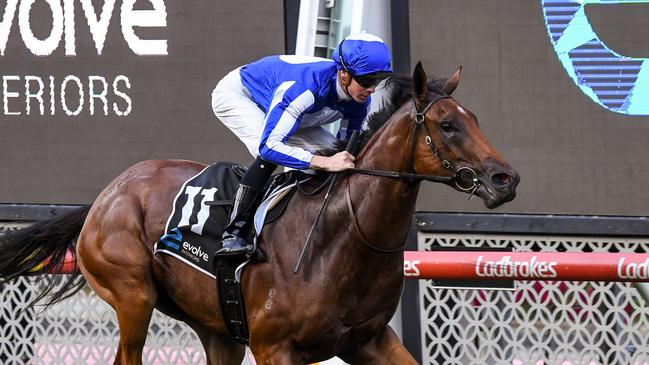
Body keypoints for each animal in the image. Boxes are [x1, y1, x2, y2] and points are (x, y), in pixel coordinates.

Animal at [0, 62, 516, 362]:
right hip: (132, 297)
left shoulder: (368, 340)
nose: (504, 179)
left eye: (475, 119)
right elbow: (271, 145)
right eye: (447, 125)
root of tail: (106, 194)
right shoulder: (275, 348)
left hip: (217, 329)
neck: (344, 236)